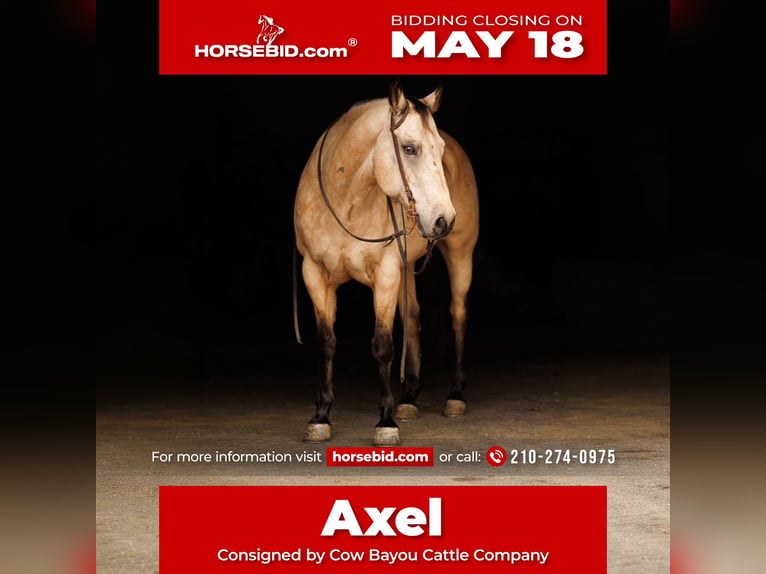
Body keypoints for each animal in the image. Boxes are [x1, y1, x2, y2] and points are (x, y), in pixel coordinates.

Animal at [293, 81, 479, 446]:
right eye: (409, 148)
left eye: (439, 149)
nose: (444, 220)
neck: (347, 203)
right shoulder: (315, 274)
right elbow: (326, 342)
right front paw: (321, 417)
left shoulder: (386, 275)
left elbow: (382, 345)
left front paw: (386, 422)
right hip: (408, 271)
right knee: (414, 317)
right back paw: (409, 399)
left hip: (460, 254)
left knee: (458, 316)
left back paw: (455, 395)